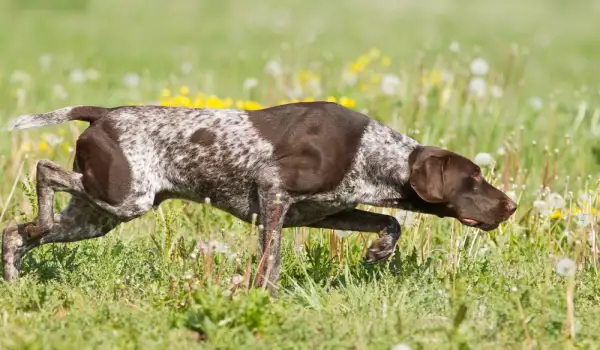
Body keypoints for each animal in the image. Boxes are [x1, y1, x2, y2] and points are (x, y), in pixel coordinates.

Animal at [1, 102, 516, 288]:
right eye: (473, 180)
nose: (511, 205)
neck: (372, 153)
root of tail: (103, 113)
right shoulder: (272, 192)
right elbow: (271, 259)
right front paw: (261, 295)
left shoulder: (324, 212)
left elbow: (389, 221)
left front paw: (379, 251)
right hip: (126, 196)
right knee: (44, 171)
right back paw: (34, 226)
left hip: (97, 213)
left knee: (17, 232)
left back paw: (14, 271)